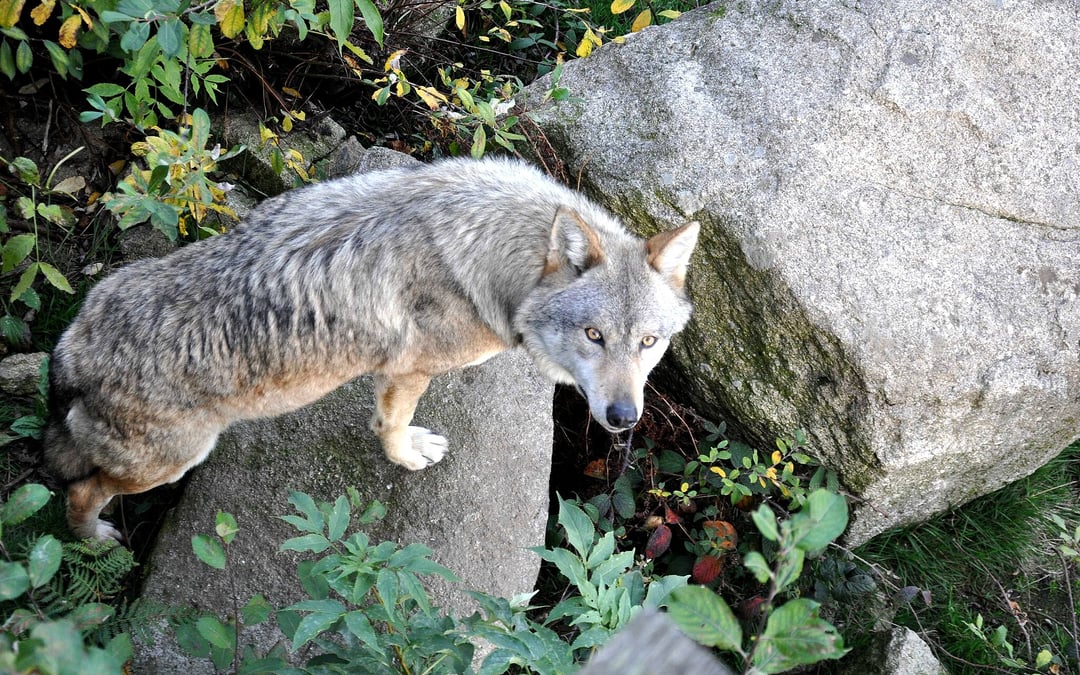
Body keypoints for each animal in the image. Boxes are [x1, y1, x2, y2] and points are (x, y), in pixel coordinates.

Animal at [43, 157, 699, 541]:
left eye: (648, 342)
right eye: (594, 335)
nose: (624, 417)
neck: (493, 255)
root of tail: (73, 348)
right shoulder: (408, 369)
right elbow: (394, 424)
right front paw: (408, 457)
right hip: (173, 462)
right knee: (79, 491)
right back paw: (91, 539)